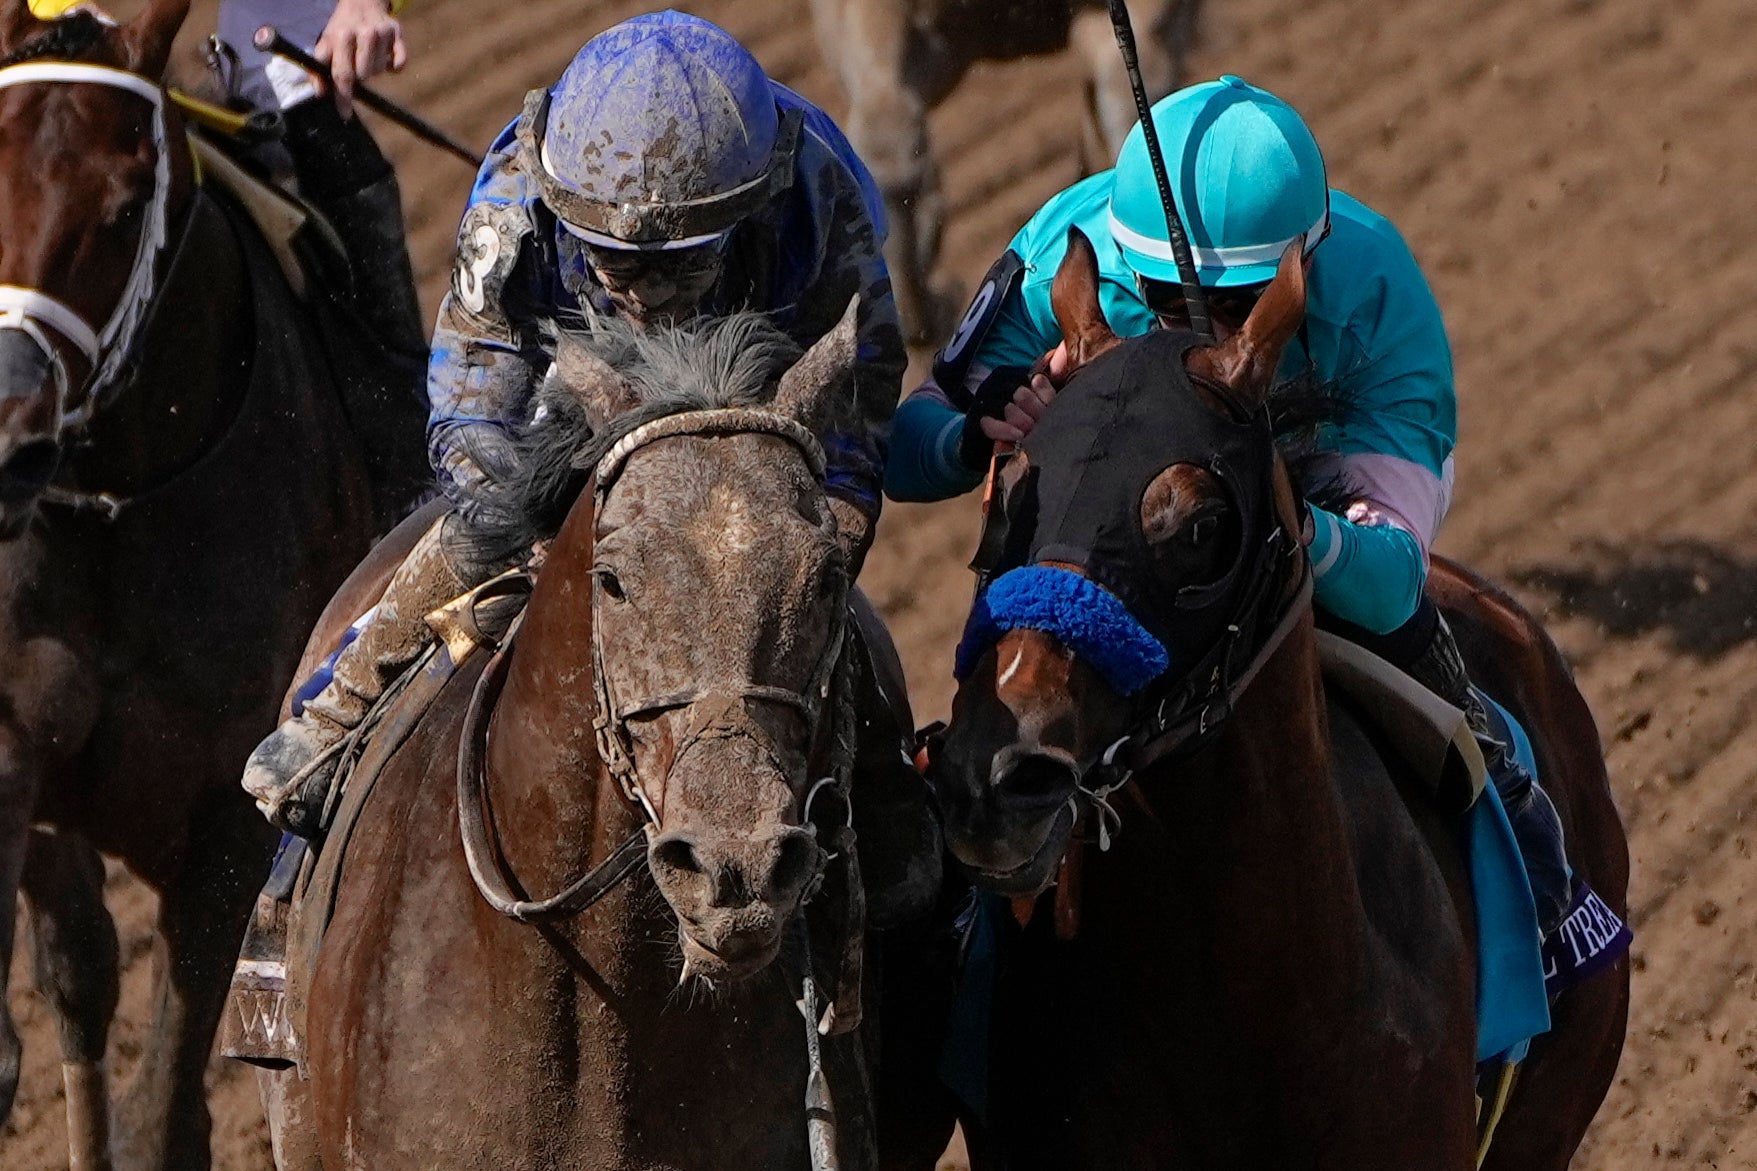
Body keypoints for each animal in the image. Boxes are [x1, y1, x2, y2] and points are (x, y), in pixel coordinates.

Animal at [0, 0, 421, 1165]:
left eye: (121, 207)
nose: (6, 437)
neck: (114, 495)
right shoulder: (17, 756)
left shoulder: (229, 816)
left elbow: (168, 1110)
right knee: (80, 979)